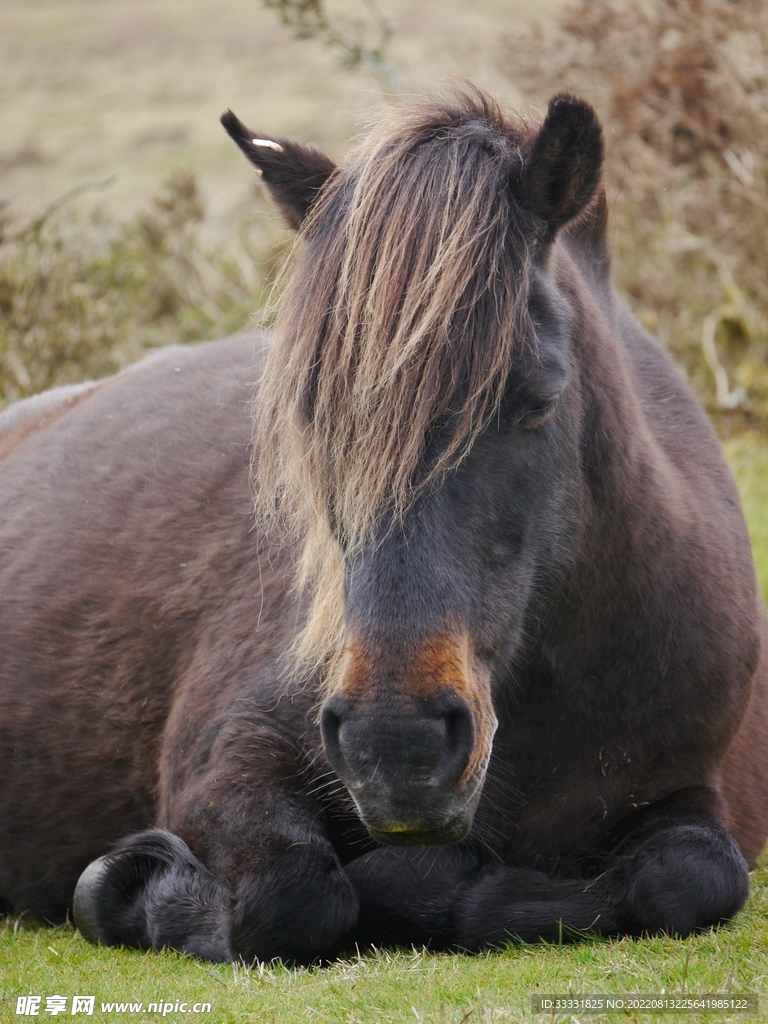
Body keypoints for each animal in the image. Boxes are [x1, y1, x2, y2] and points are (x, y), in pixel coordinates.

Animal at [1, 88, 767, 966]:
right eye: (310, 412)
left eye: (538, 401)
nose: (395, 747)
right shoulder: (228, 760)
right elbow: (299, 893)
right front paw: (130, 888)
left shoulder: (694, 790)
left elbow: (692, 878)